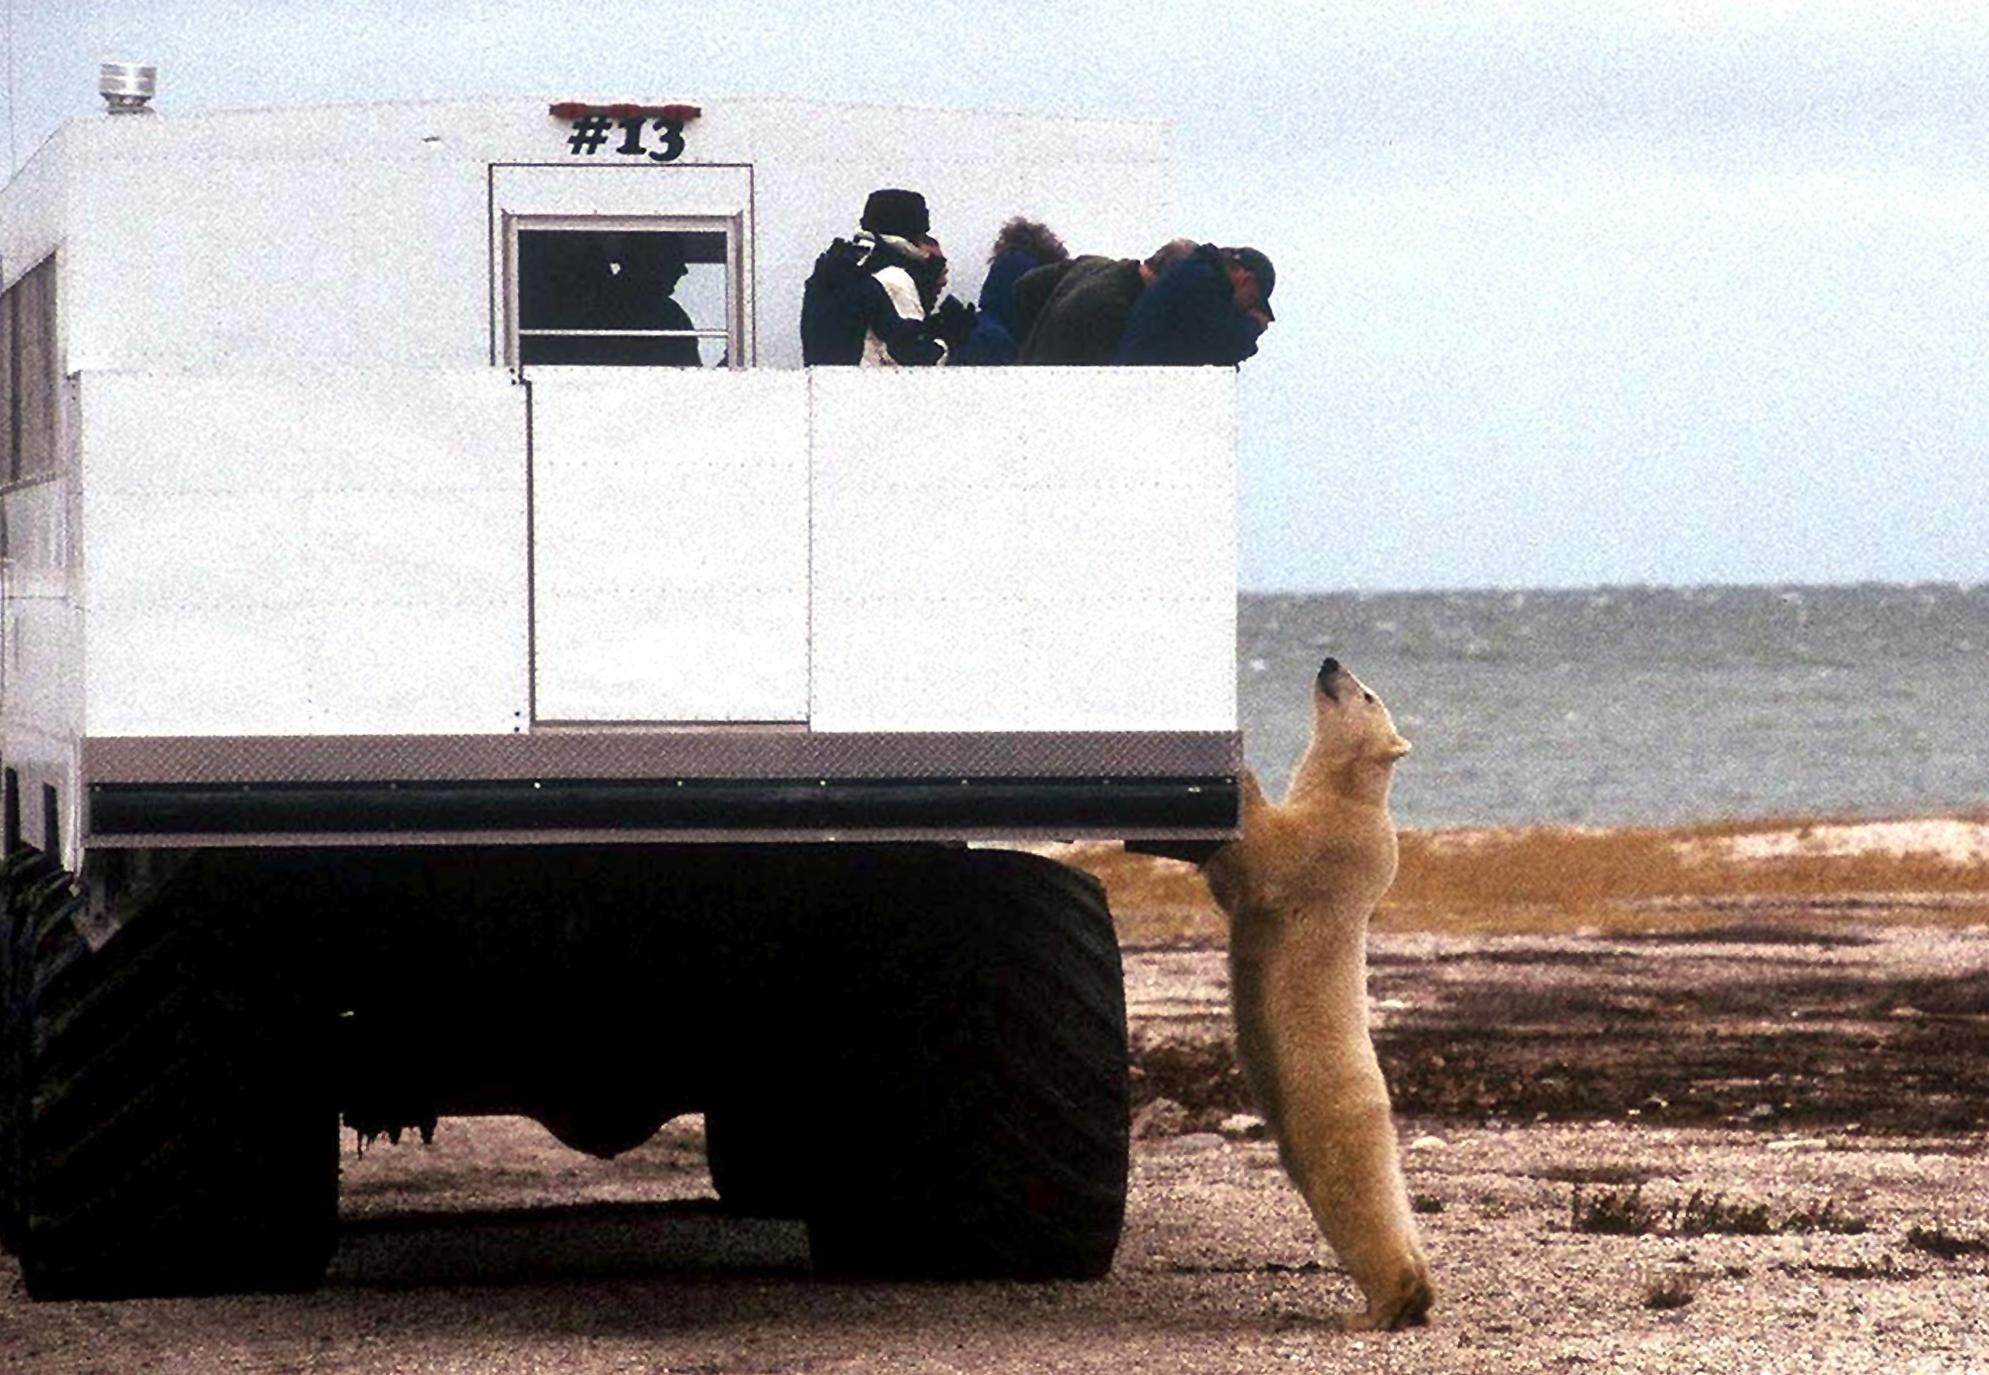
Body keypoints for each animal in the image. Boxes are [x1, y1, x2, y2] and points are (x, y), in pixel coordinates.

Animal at [1193, 660, 1432, 1329]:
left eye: (1367, 693)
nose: (1330, 662)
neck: (1355, 789)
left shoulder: (1335, 840)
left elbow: (1269, 857)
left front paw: (1244, 771)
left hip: (1336, 1116)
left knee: (1355, 1199)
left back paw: (1380, 1308)